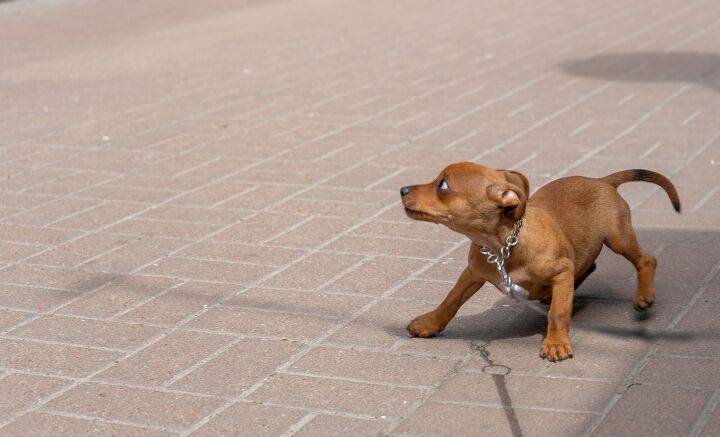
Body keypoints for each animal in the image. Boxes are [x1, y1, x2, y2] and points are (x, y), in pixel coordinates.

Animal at [400, 164, 680, 362]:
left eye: (443, 185)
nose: (402, 190)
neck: (503, 248)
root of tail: (602, 181)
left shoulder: (562, 271)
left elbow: (559, 311)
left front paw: (556, 343)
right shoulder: (473, 273)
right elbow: (451, 300)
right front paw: (430, 323)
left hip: (618, 237)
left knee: (646, 259)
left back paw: (643, 295)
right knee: (589, 266)